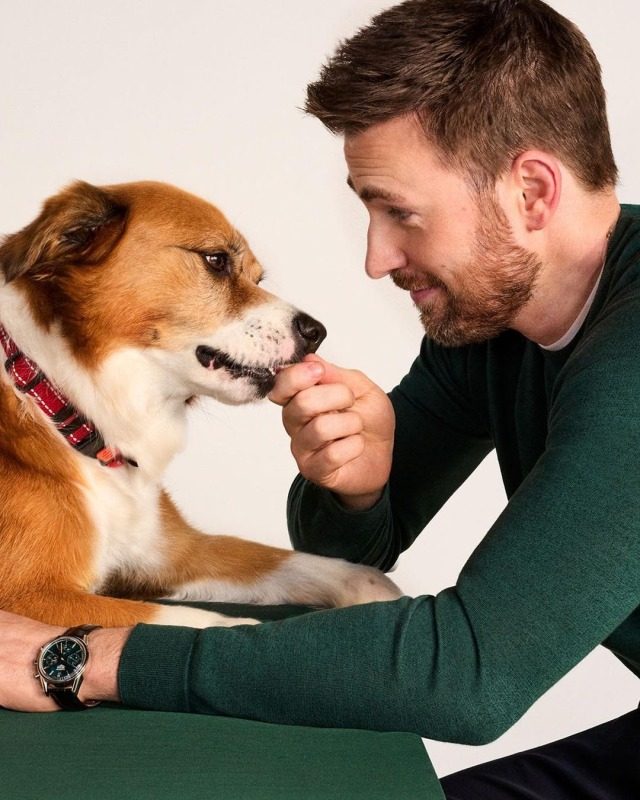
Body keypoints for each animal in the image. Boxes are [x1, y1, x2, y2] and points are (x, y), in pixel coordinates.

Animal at [0, 183, 400, 632]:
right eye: (216, 260)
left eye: (258, 278)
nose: (317, 333)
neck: (66, 406)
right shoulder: (30, 596)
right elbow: (198, 623)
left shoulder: (174, 550)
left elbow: (302, 563)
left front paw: (379, 594)